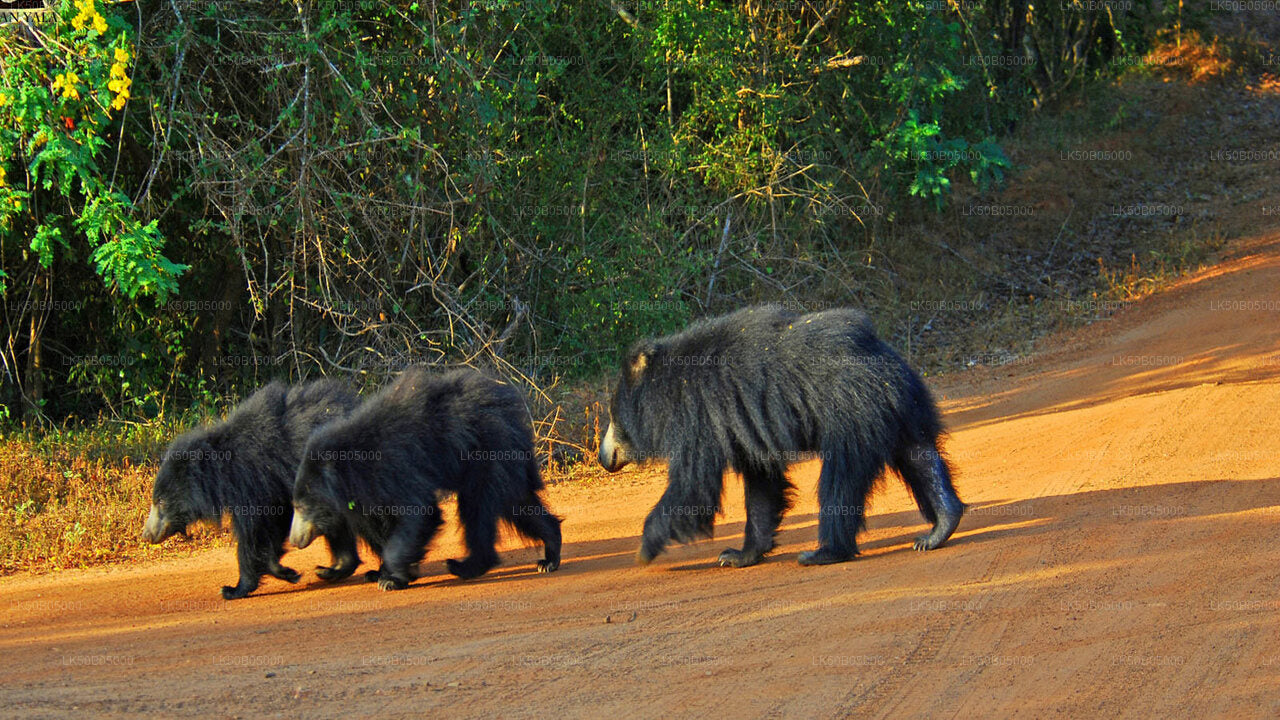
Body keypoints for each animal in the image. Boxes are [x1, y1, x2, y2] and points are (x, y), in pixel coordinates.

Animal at [145, 379, 366, 597]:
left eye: (160, 501)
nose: (146, 534)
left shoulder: (253, 482)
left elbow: (253, 531)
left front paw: (234, 589)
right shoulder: (274, 489)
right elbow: (275, 525)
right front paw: (286, 572)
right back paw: (332, 570)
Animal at [294, 363, 565, 589]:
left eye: (301, 507)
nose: (295, 539)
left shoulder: (399, 468)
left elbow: (421, 513)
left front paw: (392, 579)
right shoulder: (372, 489)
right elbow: (383, 523)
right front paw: (385, 572)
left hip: (489, 454)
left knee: (478, 509)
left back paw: (465, 565)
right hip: (502, 460)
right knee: (518, 503)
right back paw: (548, 556)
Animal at [596, 302, 962, 566]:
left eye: (613, 418)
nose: (603, 458)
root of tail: (879, 355)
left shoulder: (698, 418)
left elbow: (693, 487)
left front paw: (644, 549)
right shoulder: (742, 428)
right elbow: (762, 486)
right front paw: (737, 556)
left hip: (851, 413)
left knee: (840, 480)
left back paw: (823, 552)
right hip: (899, 407)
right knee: (919, 456)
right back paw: (940, 528)